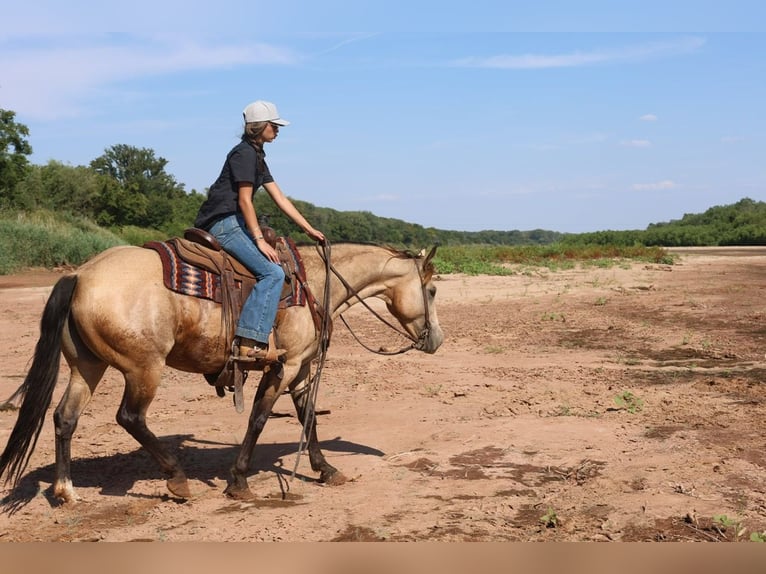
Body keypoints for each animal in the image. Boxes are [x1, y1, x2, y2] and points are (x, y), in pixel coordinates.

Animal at [0, 241, 443, 504]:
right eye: (433, 290)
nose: (437, 339)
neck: (316, 283)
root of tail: (79, 274)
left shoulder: (302, 367)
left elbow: (308, 417)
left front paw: (326, 469)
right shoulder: (286, 366)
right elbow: (260, 418)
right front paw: (239, 480)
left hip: (87, 366)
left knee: (65, 418)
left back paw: (65, 491)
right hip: (143, 368)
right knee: (130, 417)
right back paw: (177, 479)